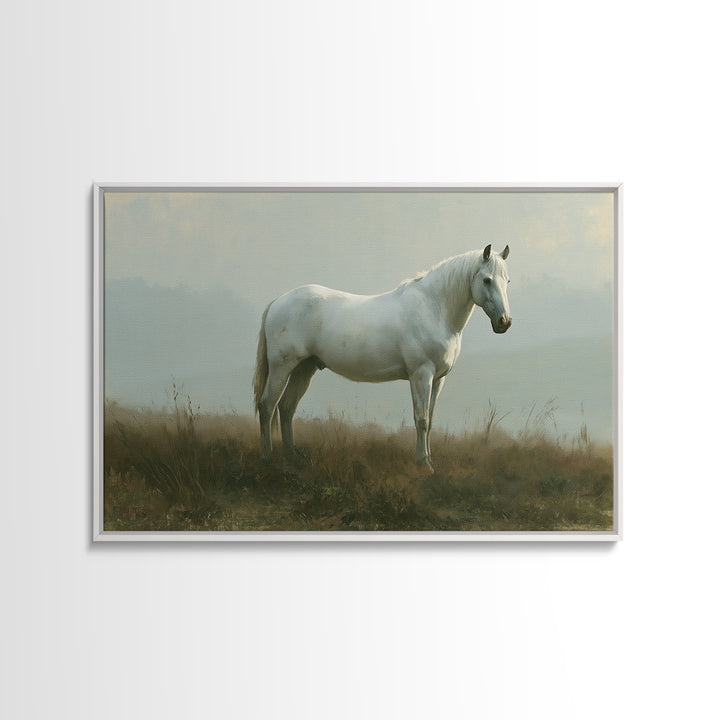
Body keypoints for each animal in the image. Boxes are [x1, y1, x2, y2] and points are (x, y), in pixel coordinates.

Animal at [252, 244, 512, 471]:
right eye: (487, 280)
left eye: (507, 281)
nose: (505, 322)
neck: (434, 308)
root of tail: (277, 302)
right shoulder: (421, 374)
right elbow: (421, 420)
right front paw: (424, 464)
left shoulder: (438, 378)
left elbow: (430, 420)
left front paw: (428, 459)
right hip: (281, 367)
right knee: (267, 406)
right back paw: (267, 458)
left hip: (304, 368)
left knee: (286, 408)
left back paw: (292, 457)